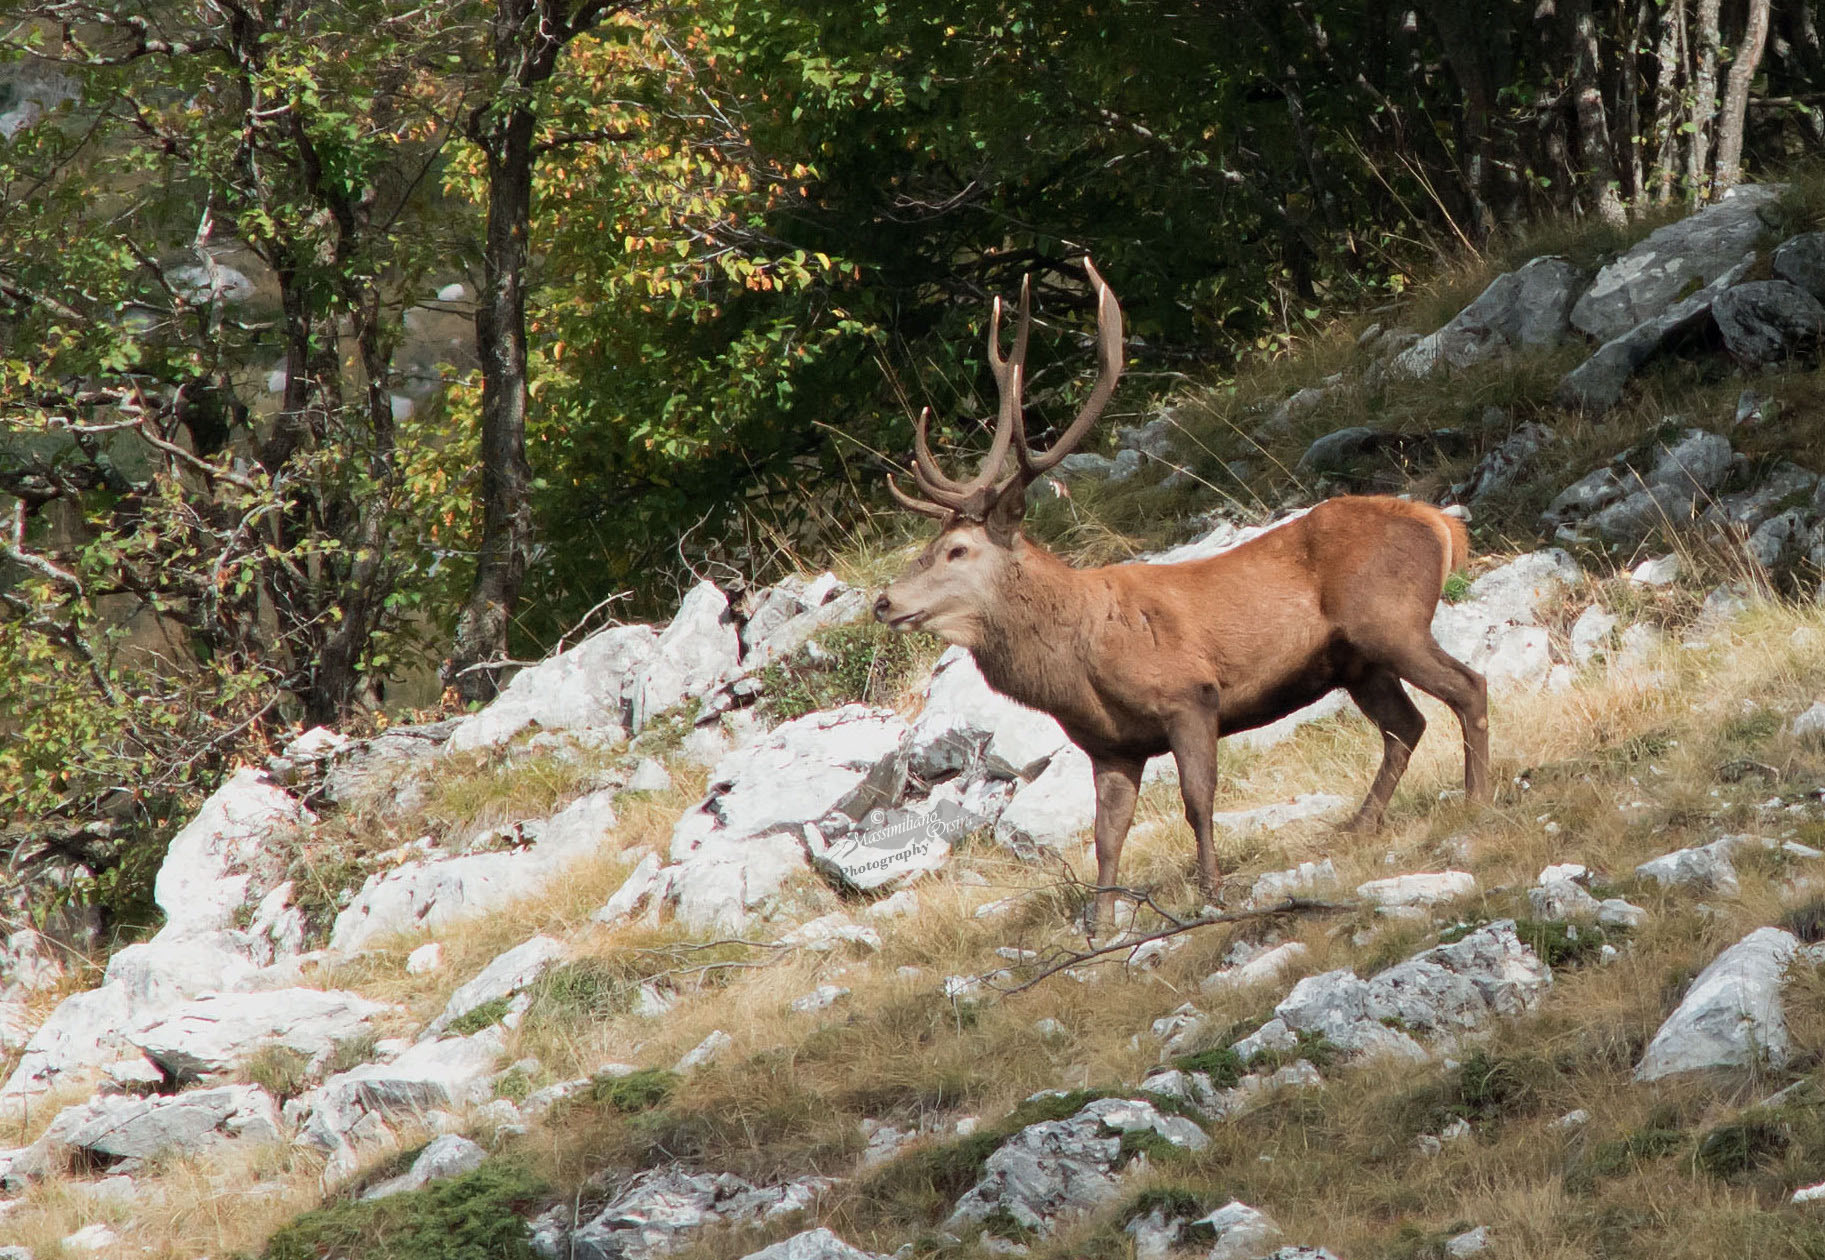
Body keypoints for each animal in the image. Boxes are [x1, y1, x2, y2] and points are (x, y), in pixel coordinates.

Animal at [872, 261, 1492, 933]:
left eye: (958, 550)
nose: (883, 601)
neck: (1080, 660)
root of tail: (1442, 524)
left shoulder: (1189, 695)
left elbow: (1198, 801)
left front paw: (1210, 893)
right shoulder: (1110, 747)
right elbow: (1107, 835)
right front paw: (1100, 926)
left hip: (1391, 621)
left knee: (1468, 687)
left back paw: (1477, 798)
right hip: (1357, 661)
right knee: (1406, 725)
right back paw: (1360, 824)